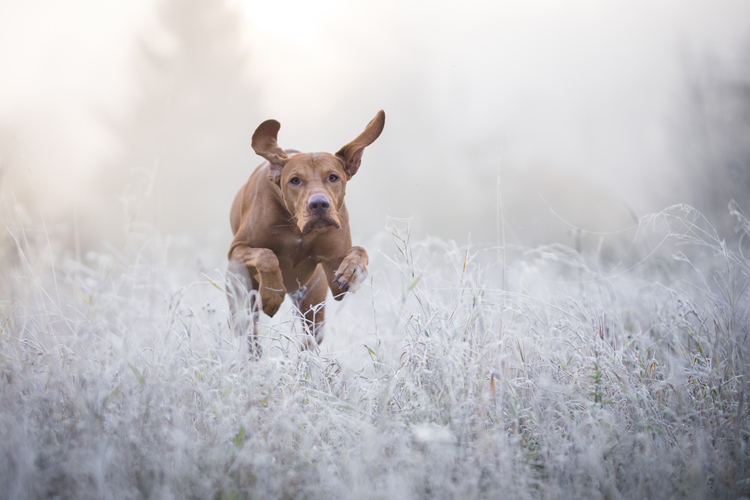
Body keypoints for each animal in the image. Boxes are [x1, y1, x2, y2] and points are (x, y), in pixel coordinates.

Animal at [226, 110, 384, 352]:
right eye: (295, 180)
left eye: (333, 177)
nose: (319, 204)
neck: (296, 228)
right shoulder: (236, 250)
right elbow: (266, 254)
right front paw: (272, 294)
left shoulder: (334, 278)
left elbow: (359, 251)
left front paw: (351, 271)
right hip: (240, 301)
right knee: (250, 338)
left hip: (313, 306)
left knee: (308, 340)